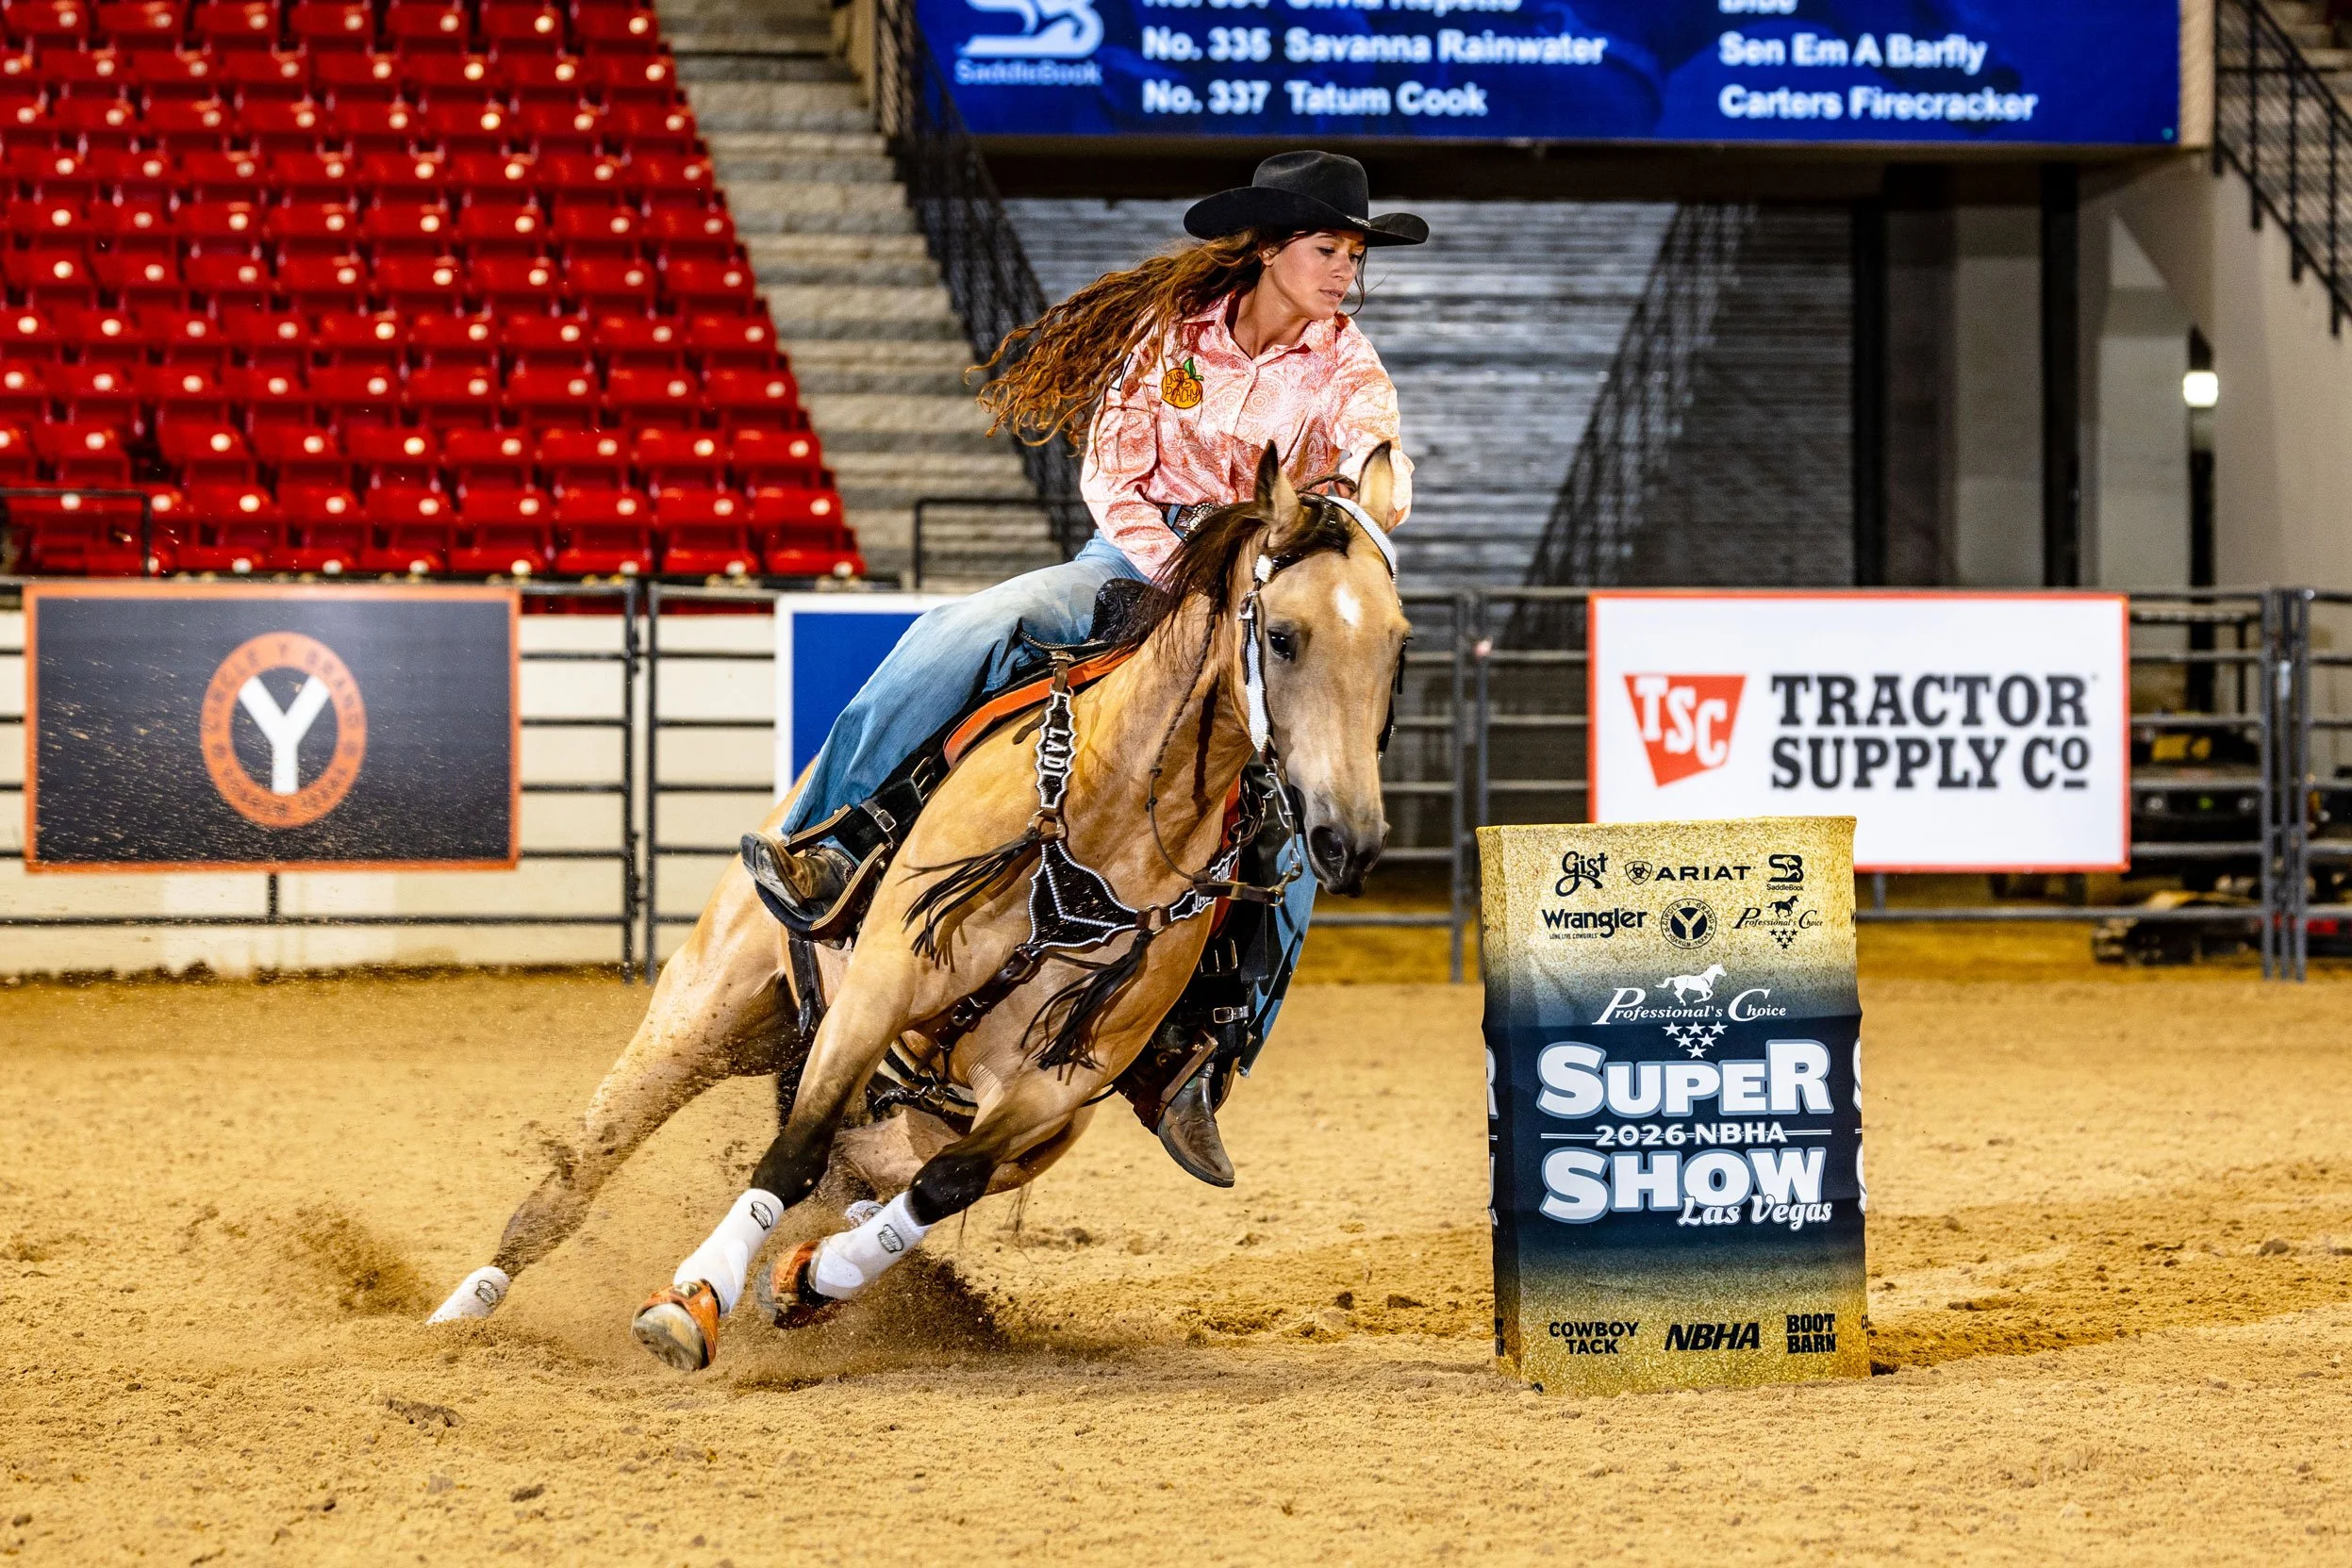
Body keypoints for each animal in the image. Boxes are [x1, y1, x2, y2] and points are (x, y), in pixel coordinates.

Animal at [425, 444, 1411, 1373]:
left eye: (1398, 645)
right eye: (1281, 635)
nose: (1349, 837)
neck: (1108, 823)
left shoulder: (1058, 1086)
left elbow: (940, 1187)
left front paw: (813, 1278)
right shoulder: (880, 988)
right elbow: (791, 1152)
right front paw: (694, 1298)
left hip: (942, 1111)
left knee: (875, 1181)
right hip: (704, 1012)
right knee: (576, 1177)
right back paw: (460, 1313)